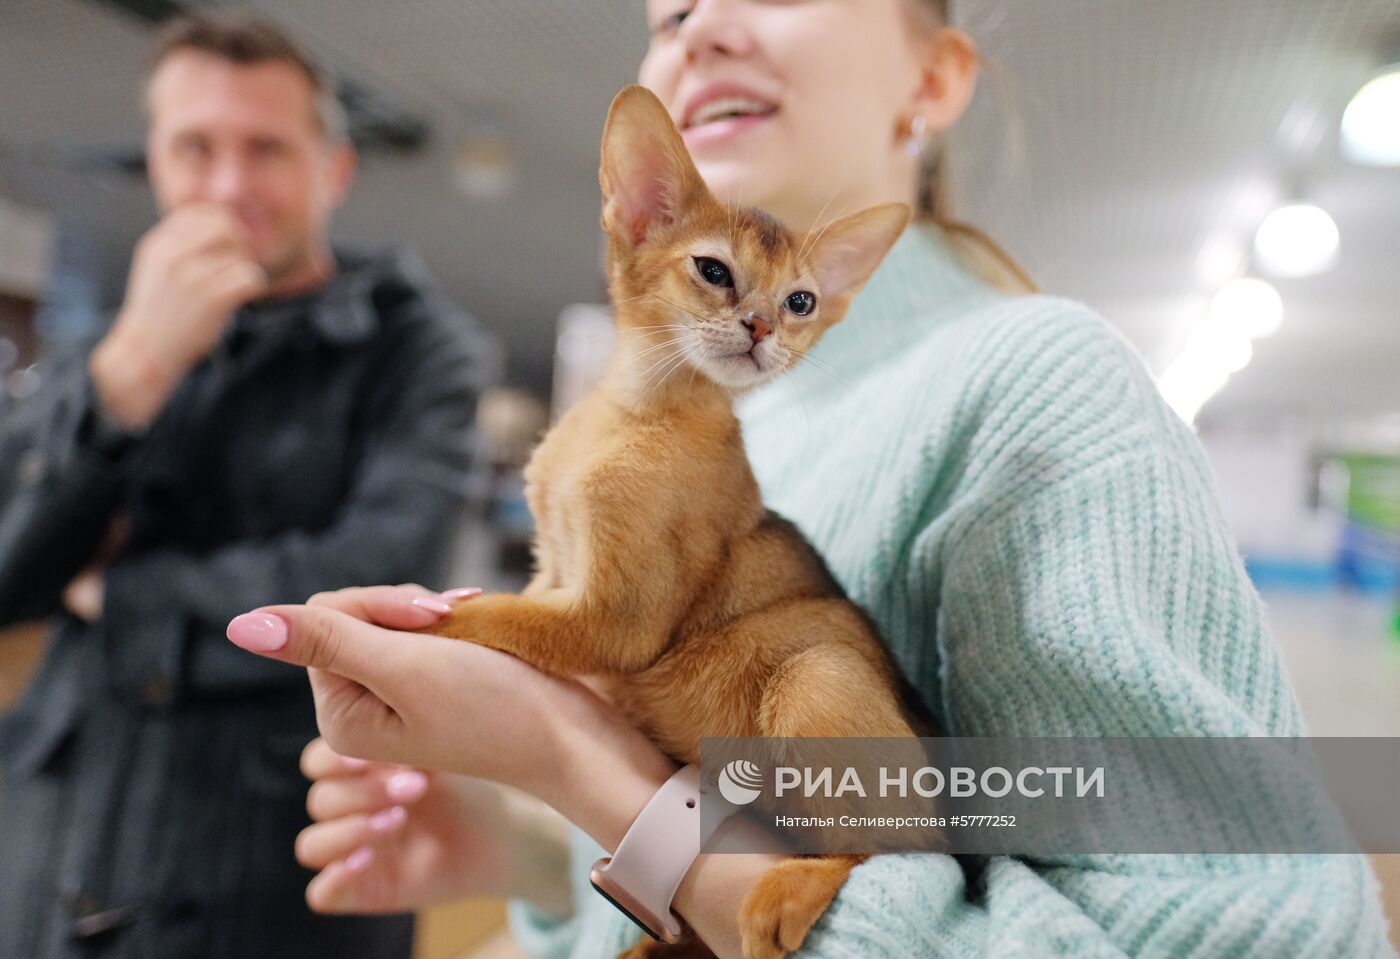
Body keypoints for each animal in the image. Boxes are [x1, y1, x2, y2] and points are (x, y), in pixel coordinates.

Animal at [425, 84, 929, 957]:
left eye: (800, 299)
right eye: (714, 269)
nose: (763, 325)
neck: (631, 416)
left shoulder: (613, 618)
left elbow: (493, 615)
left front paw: (417, 616)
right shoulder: (554, 569)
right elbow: (516, 602)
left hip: (816, 674)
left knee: (909, 853)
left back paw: (789, 893)